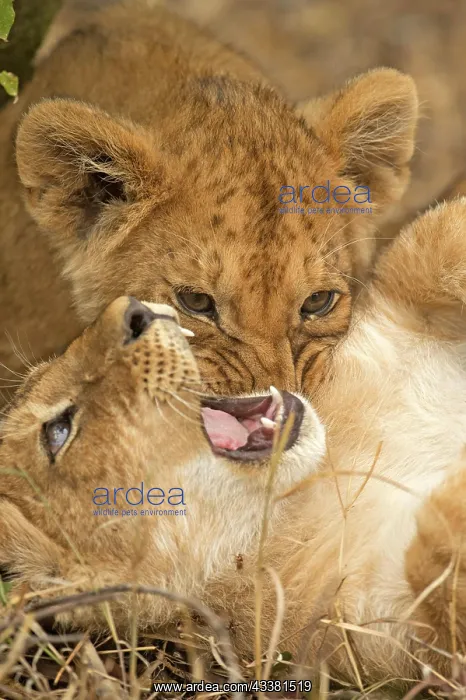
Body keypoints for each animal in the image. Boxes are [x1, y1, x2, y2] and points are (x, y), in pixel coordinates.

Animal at [2, 198, 466, 689]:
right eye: (57, 432)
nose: (134, 311)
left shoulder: (391, 320)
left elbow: (430, 240)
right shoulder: (394, 634)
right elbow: (435, 555)